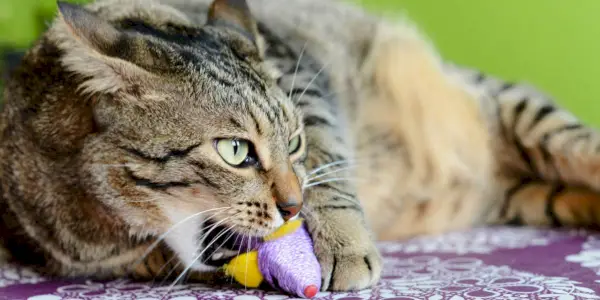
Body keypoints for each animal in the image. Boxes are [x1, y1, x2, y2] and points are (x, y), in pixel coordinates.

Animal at [1, 0, 600, 292]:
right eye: (235, 151)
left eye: (293, 143)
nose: (291, 207)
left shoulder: (304, 82)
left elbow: (329, 170)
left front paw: (342, 244)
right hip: (529, 196)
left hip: (523, 112)